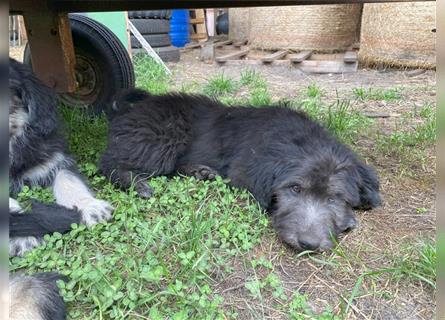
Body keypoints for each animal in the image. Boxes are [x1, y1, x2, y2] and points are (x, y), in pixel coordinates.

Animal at [101, 89, 382, 252]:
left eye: (335, 198)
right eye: (295, 189)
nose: (308, 244)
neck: (297, 140)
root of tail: (132, 108)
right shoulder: (243, 174)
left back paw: (201, 172)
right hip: (161, 138)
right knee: (107, 163)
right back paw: (136, 183)